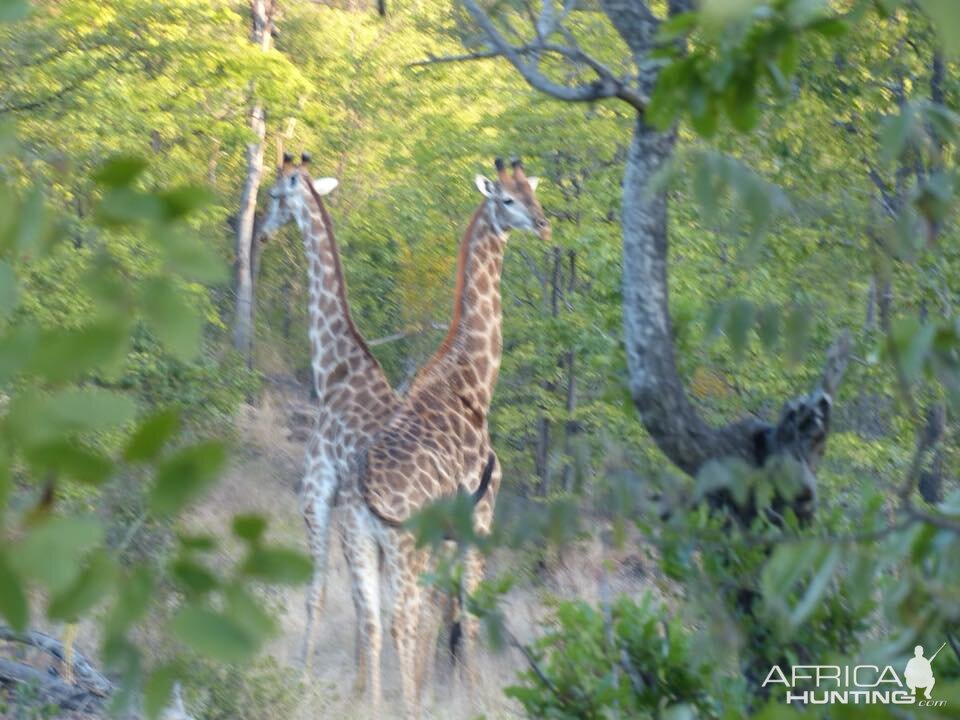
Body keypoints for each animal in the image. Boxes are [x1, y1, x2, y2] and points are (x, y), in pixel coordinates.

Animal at [358, 159, 552, 720]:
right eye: (507, 200)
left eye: (533, 192)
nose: (544, 224)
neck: (473, 381)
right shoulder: (480, 514)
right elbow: (467, 610)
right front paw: (470, 697)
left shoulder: (449, 532)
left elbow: (444, 613)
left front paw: (437, 691)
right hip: (406, 543)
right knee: (402, 618)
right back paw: (404, 707)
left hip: (363, 543)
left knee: (373, 618)